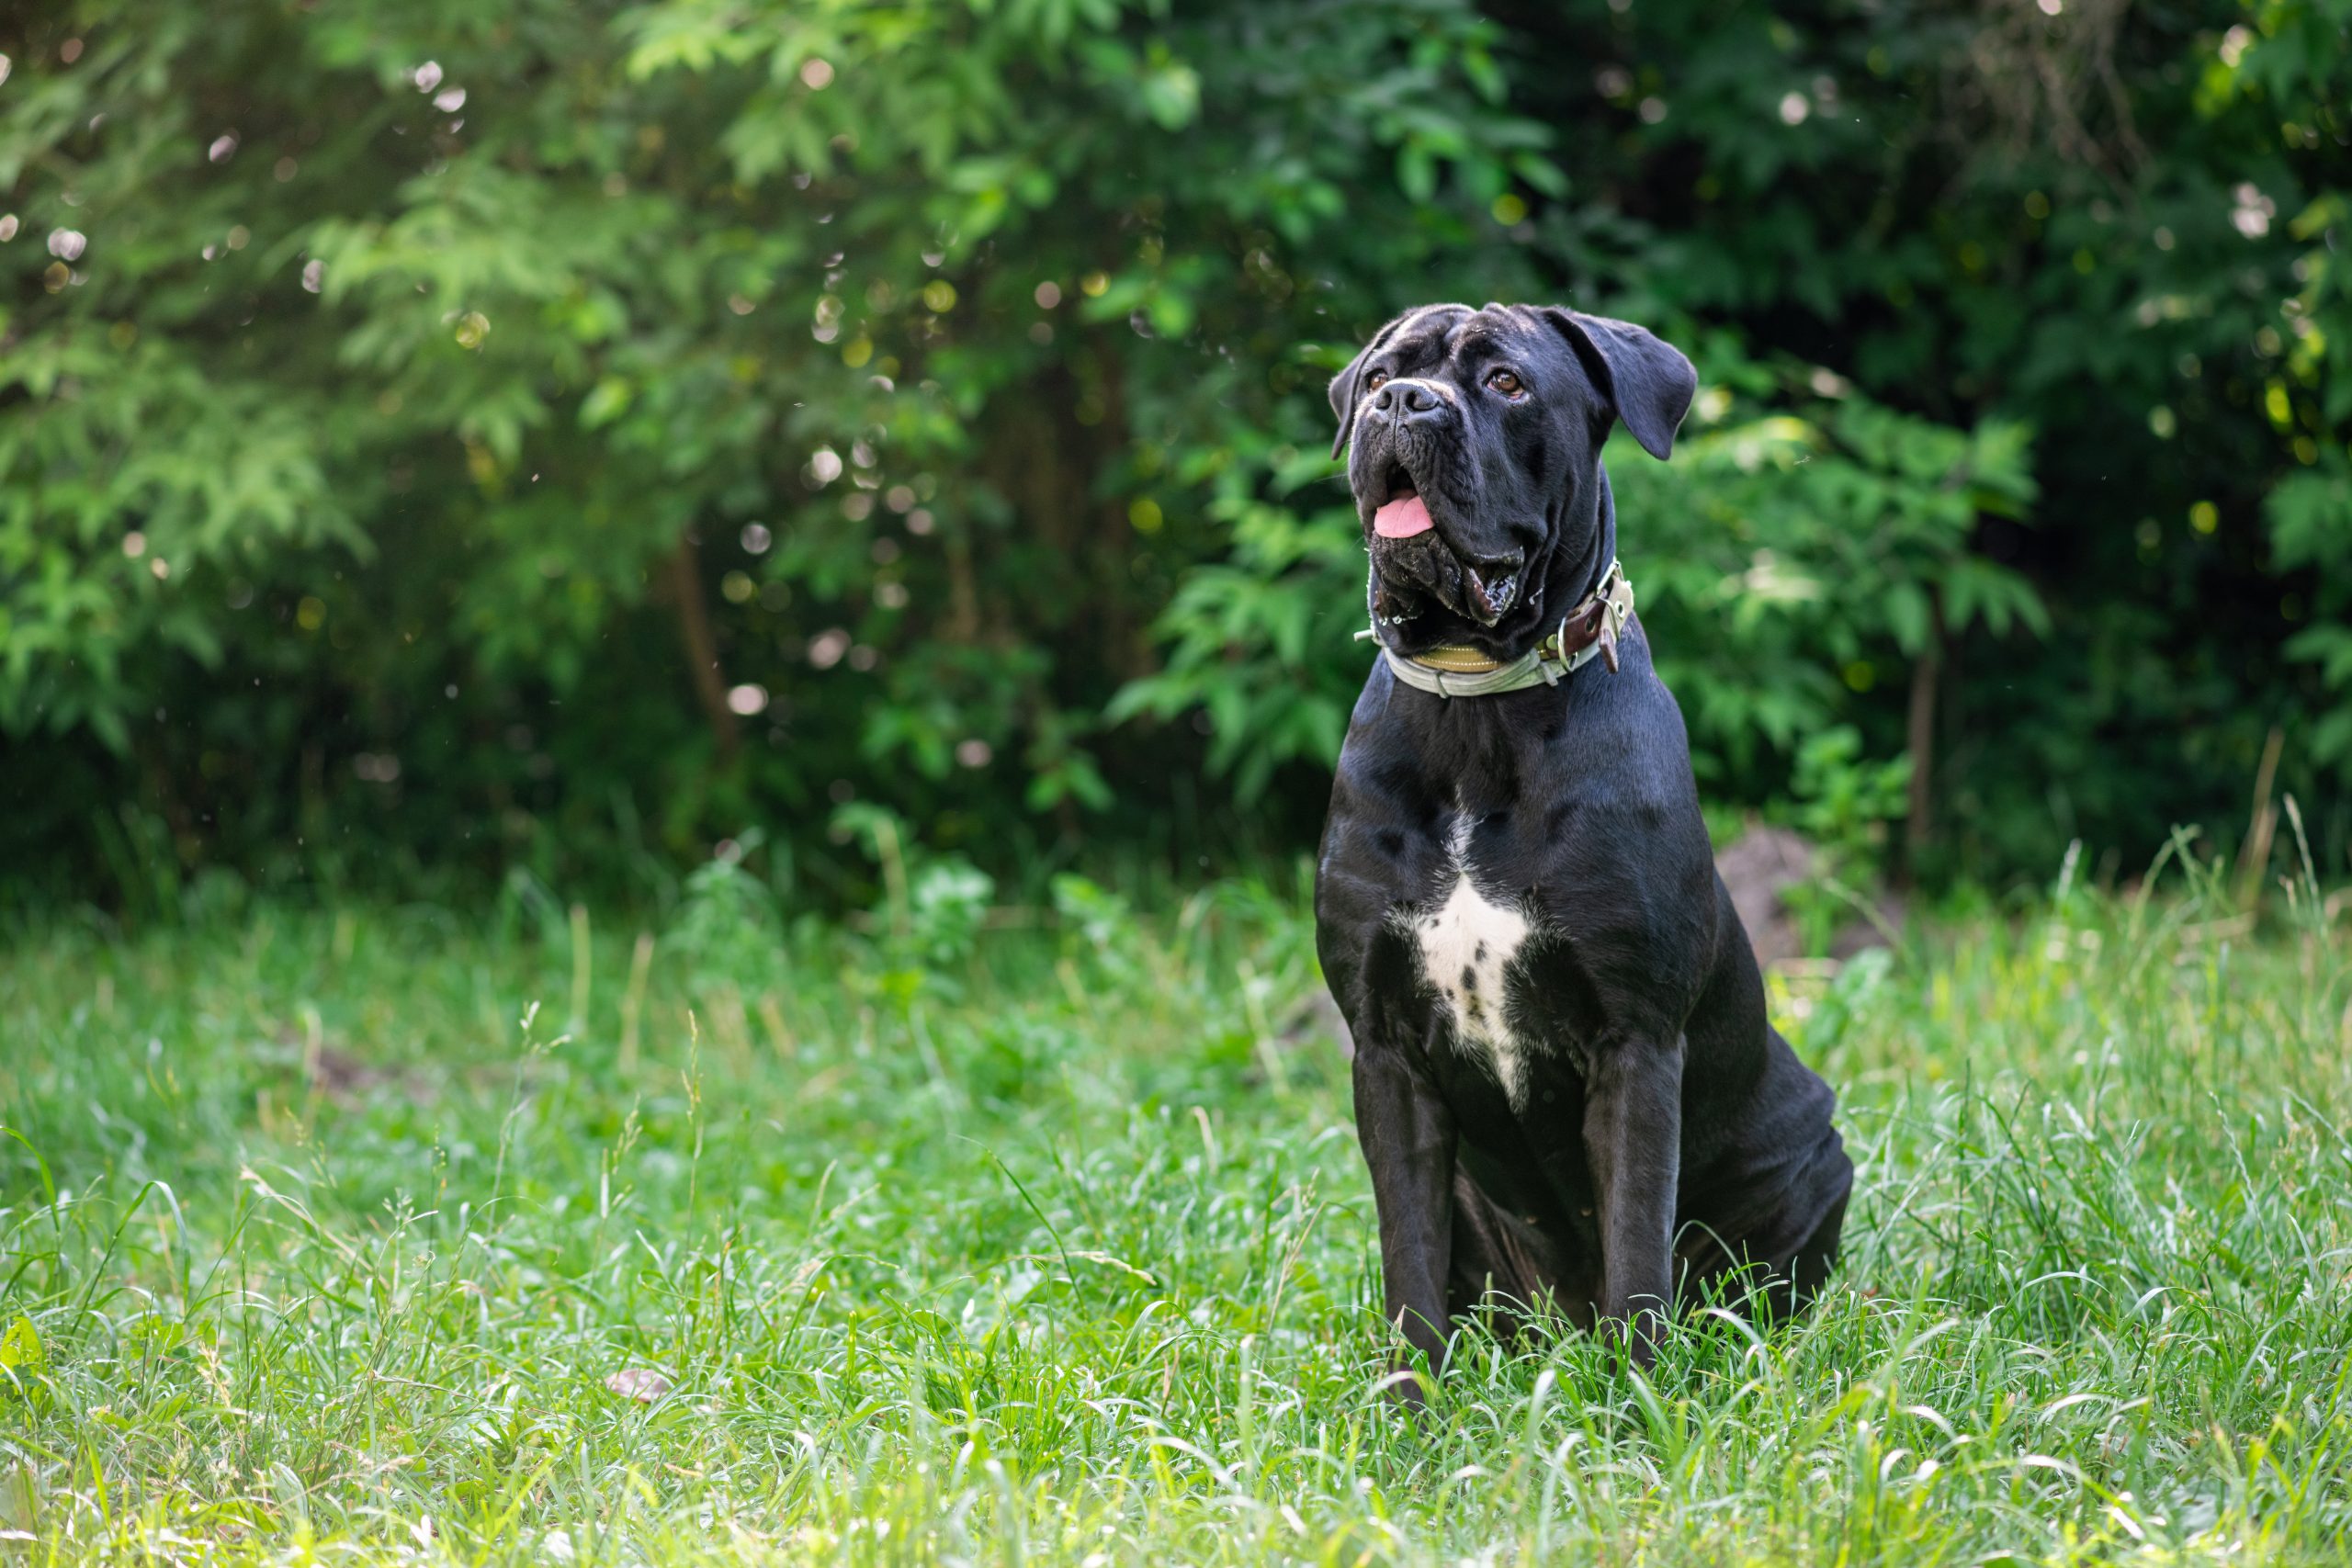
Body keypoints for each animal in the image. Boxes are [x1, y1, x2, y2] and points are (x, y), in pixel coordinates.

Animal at [1317, 300, 1844, 1392]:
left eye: (1507, 382)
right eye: (1382, 374)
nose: (1403, 402)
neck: (1479, 713)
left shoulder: (1634, 1043)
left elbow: (1637, 1246)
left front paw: (1642, 1404)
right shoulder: (1385, 1053)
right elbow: (1408, 1264)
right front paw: (1409, 1408)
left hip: (1812, 1151)